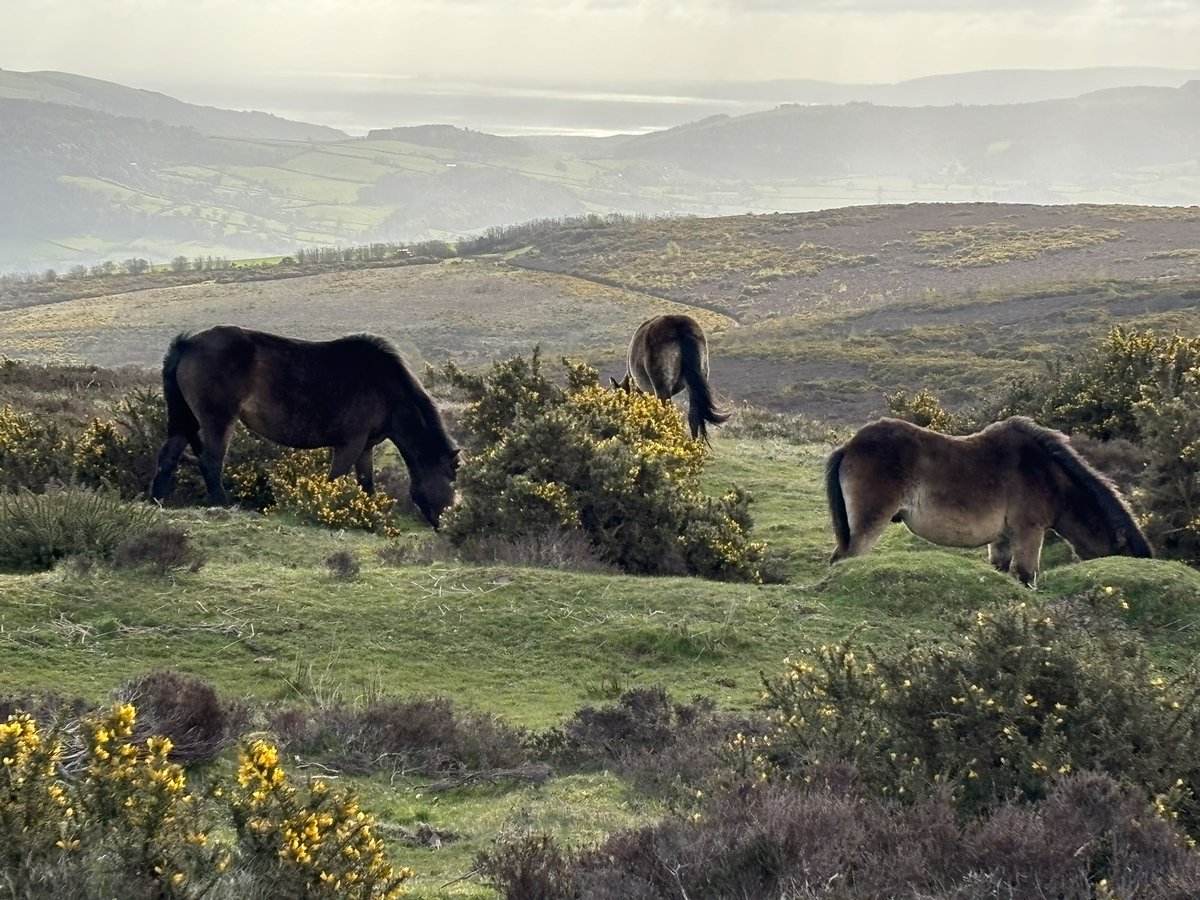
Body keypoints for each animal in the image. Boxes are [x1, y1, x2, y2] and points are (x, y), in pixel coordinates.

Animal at [152, 326, 460, 528]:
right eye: (450, 476)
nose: (445, 524)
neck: (386, 388)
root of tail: (187, 345)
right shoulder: (349, 444)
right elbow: (334, 480)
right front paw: (327, 509)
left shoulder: (365, 447)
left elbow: (366, 483)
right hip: (217, 420)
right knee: (211, 463)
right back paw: (226, 507)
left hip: (185, 420)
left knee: (168, 457)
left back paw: (156, 502)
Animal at [825, 417, 1152, 588]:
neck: (1050, 476)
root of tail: (850, 446)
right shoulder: (1029, 532)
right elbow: (1026, 576)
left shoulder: (1003, 539)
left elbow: (1002, 570)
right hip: (870, 522)